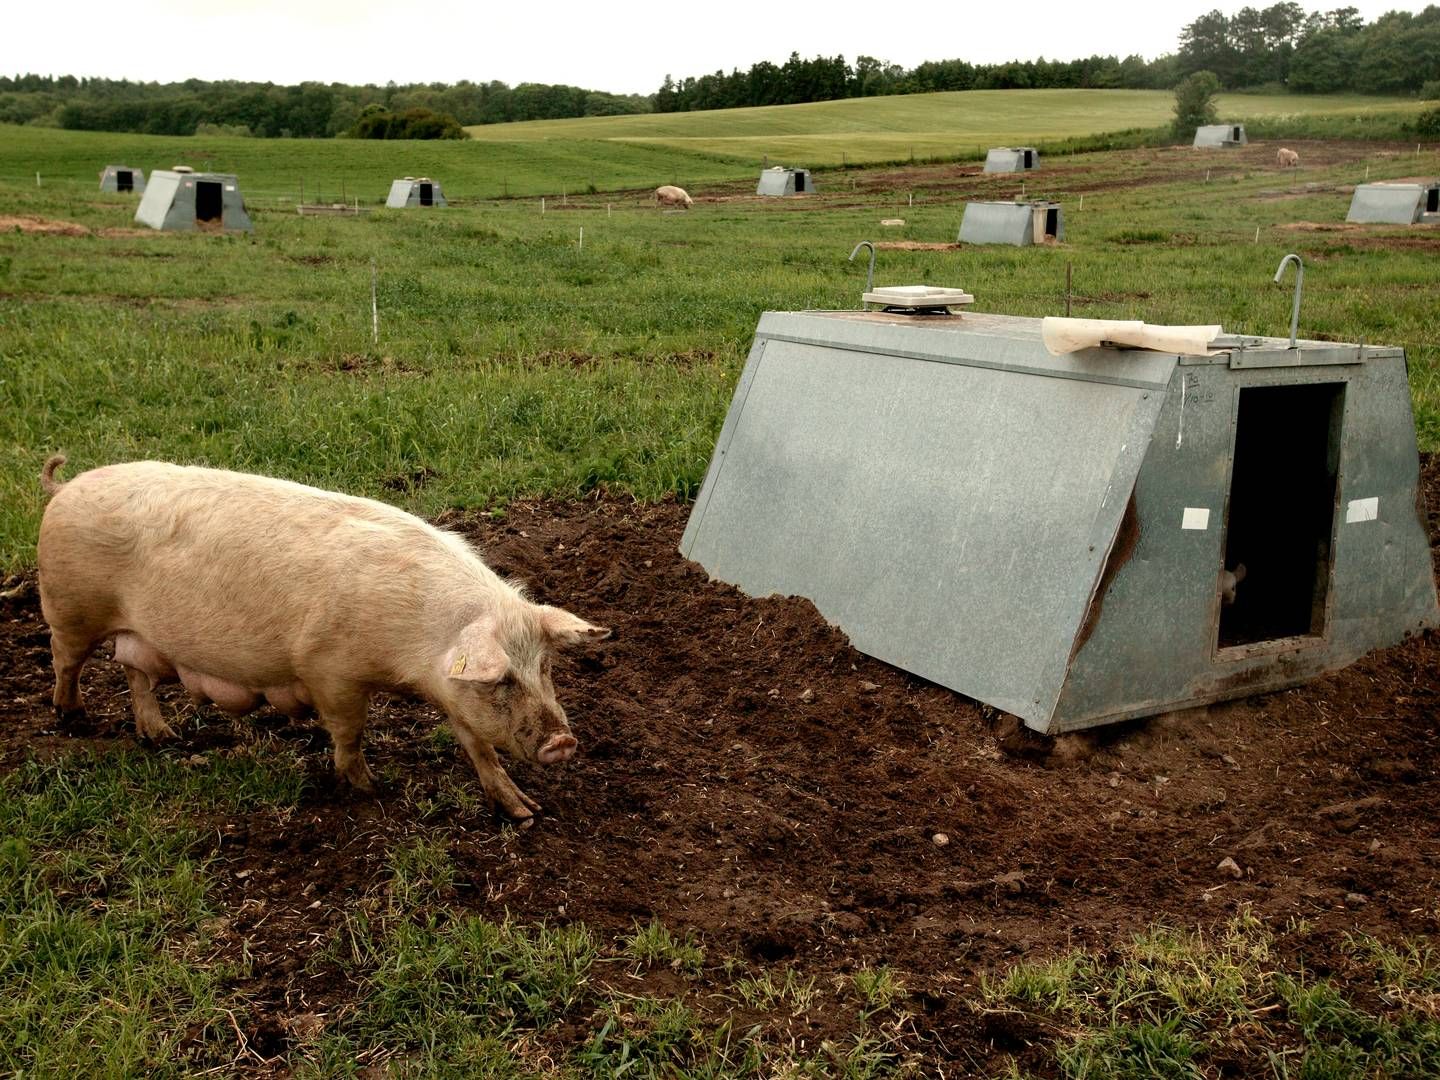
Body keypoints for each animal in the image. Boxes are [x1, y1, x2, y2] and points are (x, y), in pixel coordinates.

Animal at [33, 457, 607, 817]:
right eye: (501, 679)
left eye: (544, 668)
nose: (564, 741)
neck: (416, 651)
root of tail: (65, 488)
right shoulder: (331, 671)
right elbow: (349, 734)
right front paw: (373, 789)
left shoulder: (453, 692)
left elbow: (480, 748)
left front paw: (524, 812)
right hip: (68, 608)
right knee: (67, 662)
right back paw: (73, 718)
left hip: (138, 635)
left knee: (135, 675)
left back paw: (164, 738)